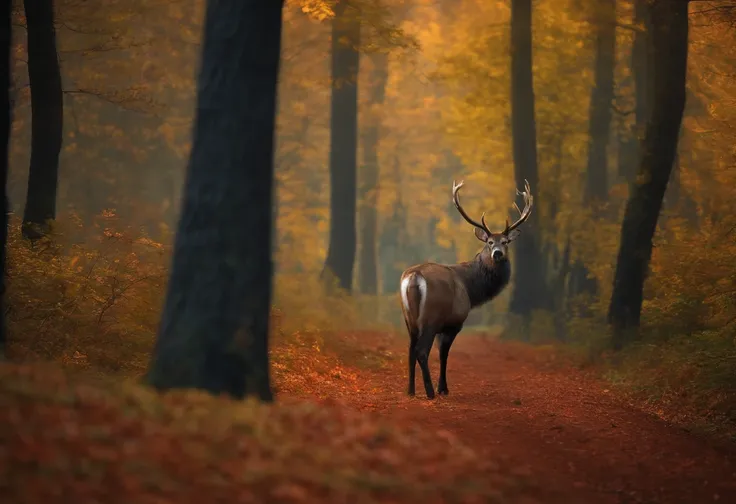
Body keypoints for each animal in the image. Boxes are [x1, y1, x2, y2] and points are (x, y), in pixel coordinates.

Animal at [400, 179, 532, 400]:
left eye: (505, 242)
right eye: (489, 242)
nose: (497, 253)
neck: (471, 288)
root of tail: (414, 277)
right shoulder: (454, 322)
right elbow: (444, 354)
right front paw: (443, 388)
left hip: (409, 318)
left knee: (410, 350)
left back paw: (410, 391)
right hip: (431, 316)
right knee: (421, 351)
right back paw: (429, 392)